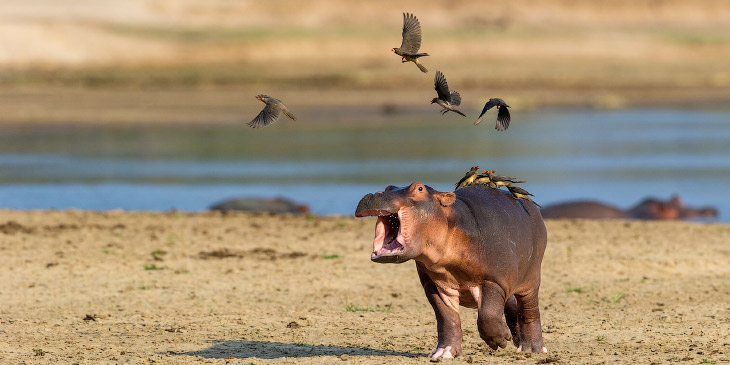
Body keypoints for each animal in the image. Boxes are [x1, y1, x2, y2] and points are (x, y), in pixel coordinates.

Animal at [352, 181, 544, 356]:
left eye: (419, 188)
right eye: (388, 188)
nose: (376, 194)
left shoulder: (494, 280)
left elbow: (487, 314)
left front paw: (500, 339)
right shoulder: (434, 285)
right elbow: (447, 319)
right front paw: (444, 353)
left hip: (531, 279)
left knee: (529, 311)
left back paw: (533, 349)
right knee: (512, 305)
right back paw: (518, 341)